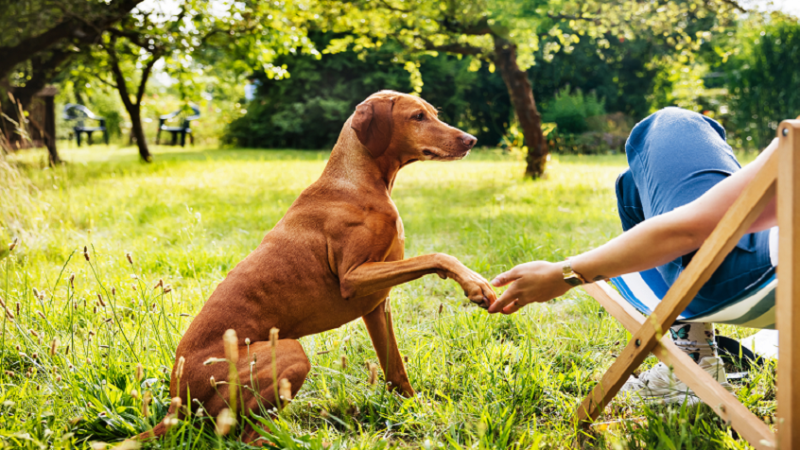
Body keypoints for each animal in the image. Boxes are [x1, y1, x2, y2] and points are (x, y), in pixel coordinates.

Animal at [141, 91, 496, 442]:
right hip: (288, 351)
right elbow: (437, 256)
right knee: (244, 435)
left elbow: (395, 367)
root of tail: (176, 403)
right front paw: (475, 283)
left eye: (434, 113)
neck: (359, 182)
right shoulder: (354, 277)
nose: (472, 140)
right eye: (418, 117)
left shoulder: (376, 304)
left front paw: (416, 411)